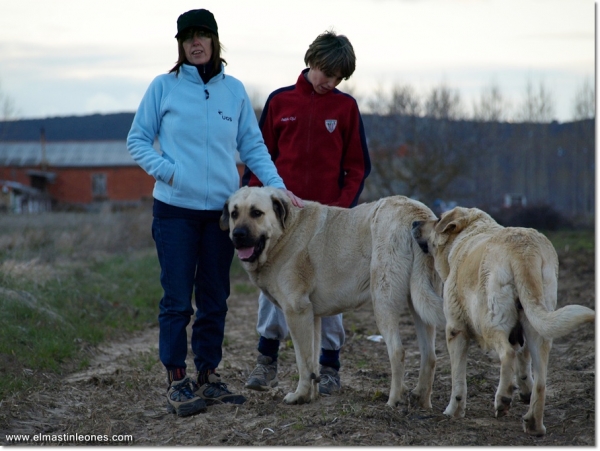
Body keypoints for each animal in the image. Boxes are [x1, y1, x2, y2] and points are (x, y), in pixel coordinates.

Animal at [220, 187, 446, 410]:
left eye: (256, 213)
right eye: (234, 214)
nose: (237, 234)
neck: (285, 233)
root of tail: (415, 211)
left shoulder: (296, 311)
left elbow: (302, 360)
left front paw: (299, 395)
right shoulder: (312, 316)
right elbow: (312, 360)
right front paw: (310, 396)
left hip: (383, 301)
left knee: (398, 351)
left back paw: (393, 401)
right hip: (418, 303)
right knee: (430, 355)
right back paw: (422, 400)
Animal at [412, 208, 596, 438]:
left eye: (438, 219)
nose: (414, 223)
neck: (468, 235)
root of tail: (525, 251)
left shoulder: (455, 330)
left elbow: (458, 380)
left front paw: (453, 411)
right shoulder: (520, 334)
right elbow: (523, 362)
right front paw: (524, 390)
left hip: (489, 322)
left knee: (506, 353)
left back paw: (503, 398)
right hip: (538, 324)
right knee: (541, 381)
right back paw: (534, 424)